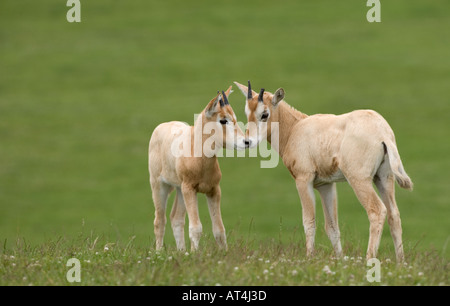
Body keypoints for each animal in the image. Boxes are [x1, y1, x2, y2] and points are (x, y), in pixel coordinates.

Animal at [148, 86, 246, 251]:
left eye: (234, 118)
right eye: (223, 120)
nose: (246, 141)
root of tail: (161, 127)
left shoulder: (213, 190)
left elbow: (219, 229)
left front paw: (223, 253)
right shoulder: (190, 189)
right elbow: (196, 228)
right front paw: (195, 254)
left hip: (179, 189)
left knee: (176, 218)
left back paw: (182, 252)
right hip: (159, 185)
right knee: (159, 220)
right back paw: (159, 252)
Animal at [234, 80, 414, 260]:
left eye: (264, 114)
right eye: (247, 112)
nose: (247, 141)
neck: (295, 128)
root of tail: (383, 133)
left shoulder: (303, 180)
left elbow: (309, 222)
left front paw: (309, 258)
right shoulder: (325, 185)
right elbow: (332, 226)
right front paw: (340, 259)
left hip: (359, 180)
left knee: (377, 211)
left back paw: (369, 259)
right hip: (383, 178)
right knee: (394, 215)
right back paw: (400, 261)